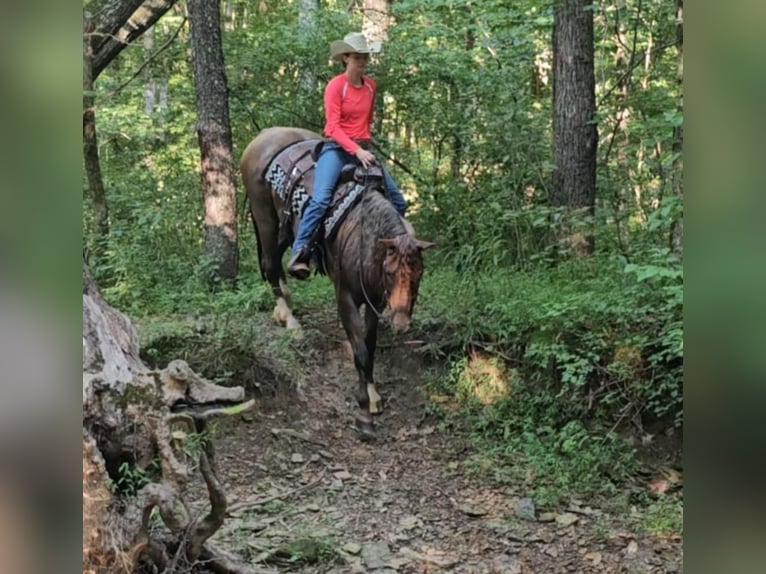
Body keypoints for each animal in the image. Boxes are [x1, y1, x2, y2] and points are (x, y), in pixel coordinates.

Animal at [240, 126, 434, 437]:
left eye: (419, 273)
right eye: (390, 272)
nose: (402, 323)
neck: (365, 240)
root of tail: (265, 136)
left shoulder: (375, 301)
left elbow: (369, 345)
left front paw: (373, 395)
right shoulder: (346, 299)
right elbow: (360, 351)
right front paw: (364, 413)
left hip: (284, 229)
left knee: (278, 265)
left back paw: (283, 309)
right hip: (265, 218)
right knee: (270, 265)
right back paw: (291, 321)